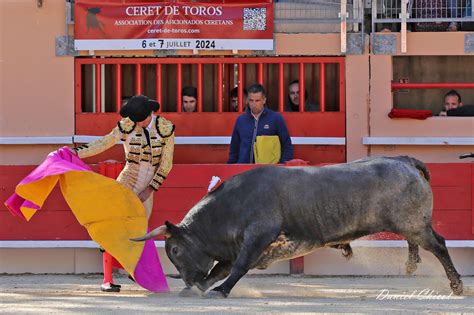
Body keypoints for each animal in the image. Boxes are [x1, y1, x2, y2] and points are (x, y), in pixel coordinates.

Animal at [132, 157, 462, 298]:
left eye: (175, 249)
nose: (189, 281)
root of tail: (405, 161)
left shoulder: (257, 236)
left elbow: (237, 267)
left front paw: (220, 291)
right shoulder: (235, 247)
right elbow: (221, 268)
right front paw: (204, 288)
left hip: (413, 223)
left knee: (439, 244)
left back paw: (456, 285)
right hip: (408, 223)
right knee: (415, 241)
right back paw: (411, 264)